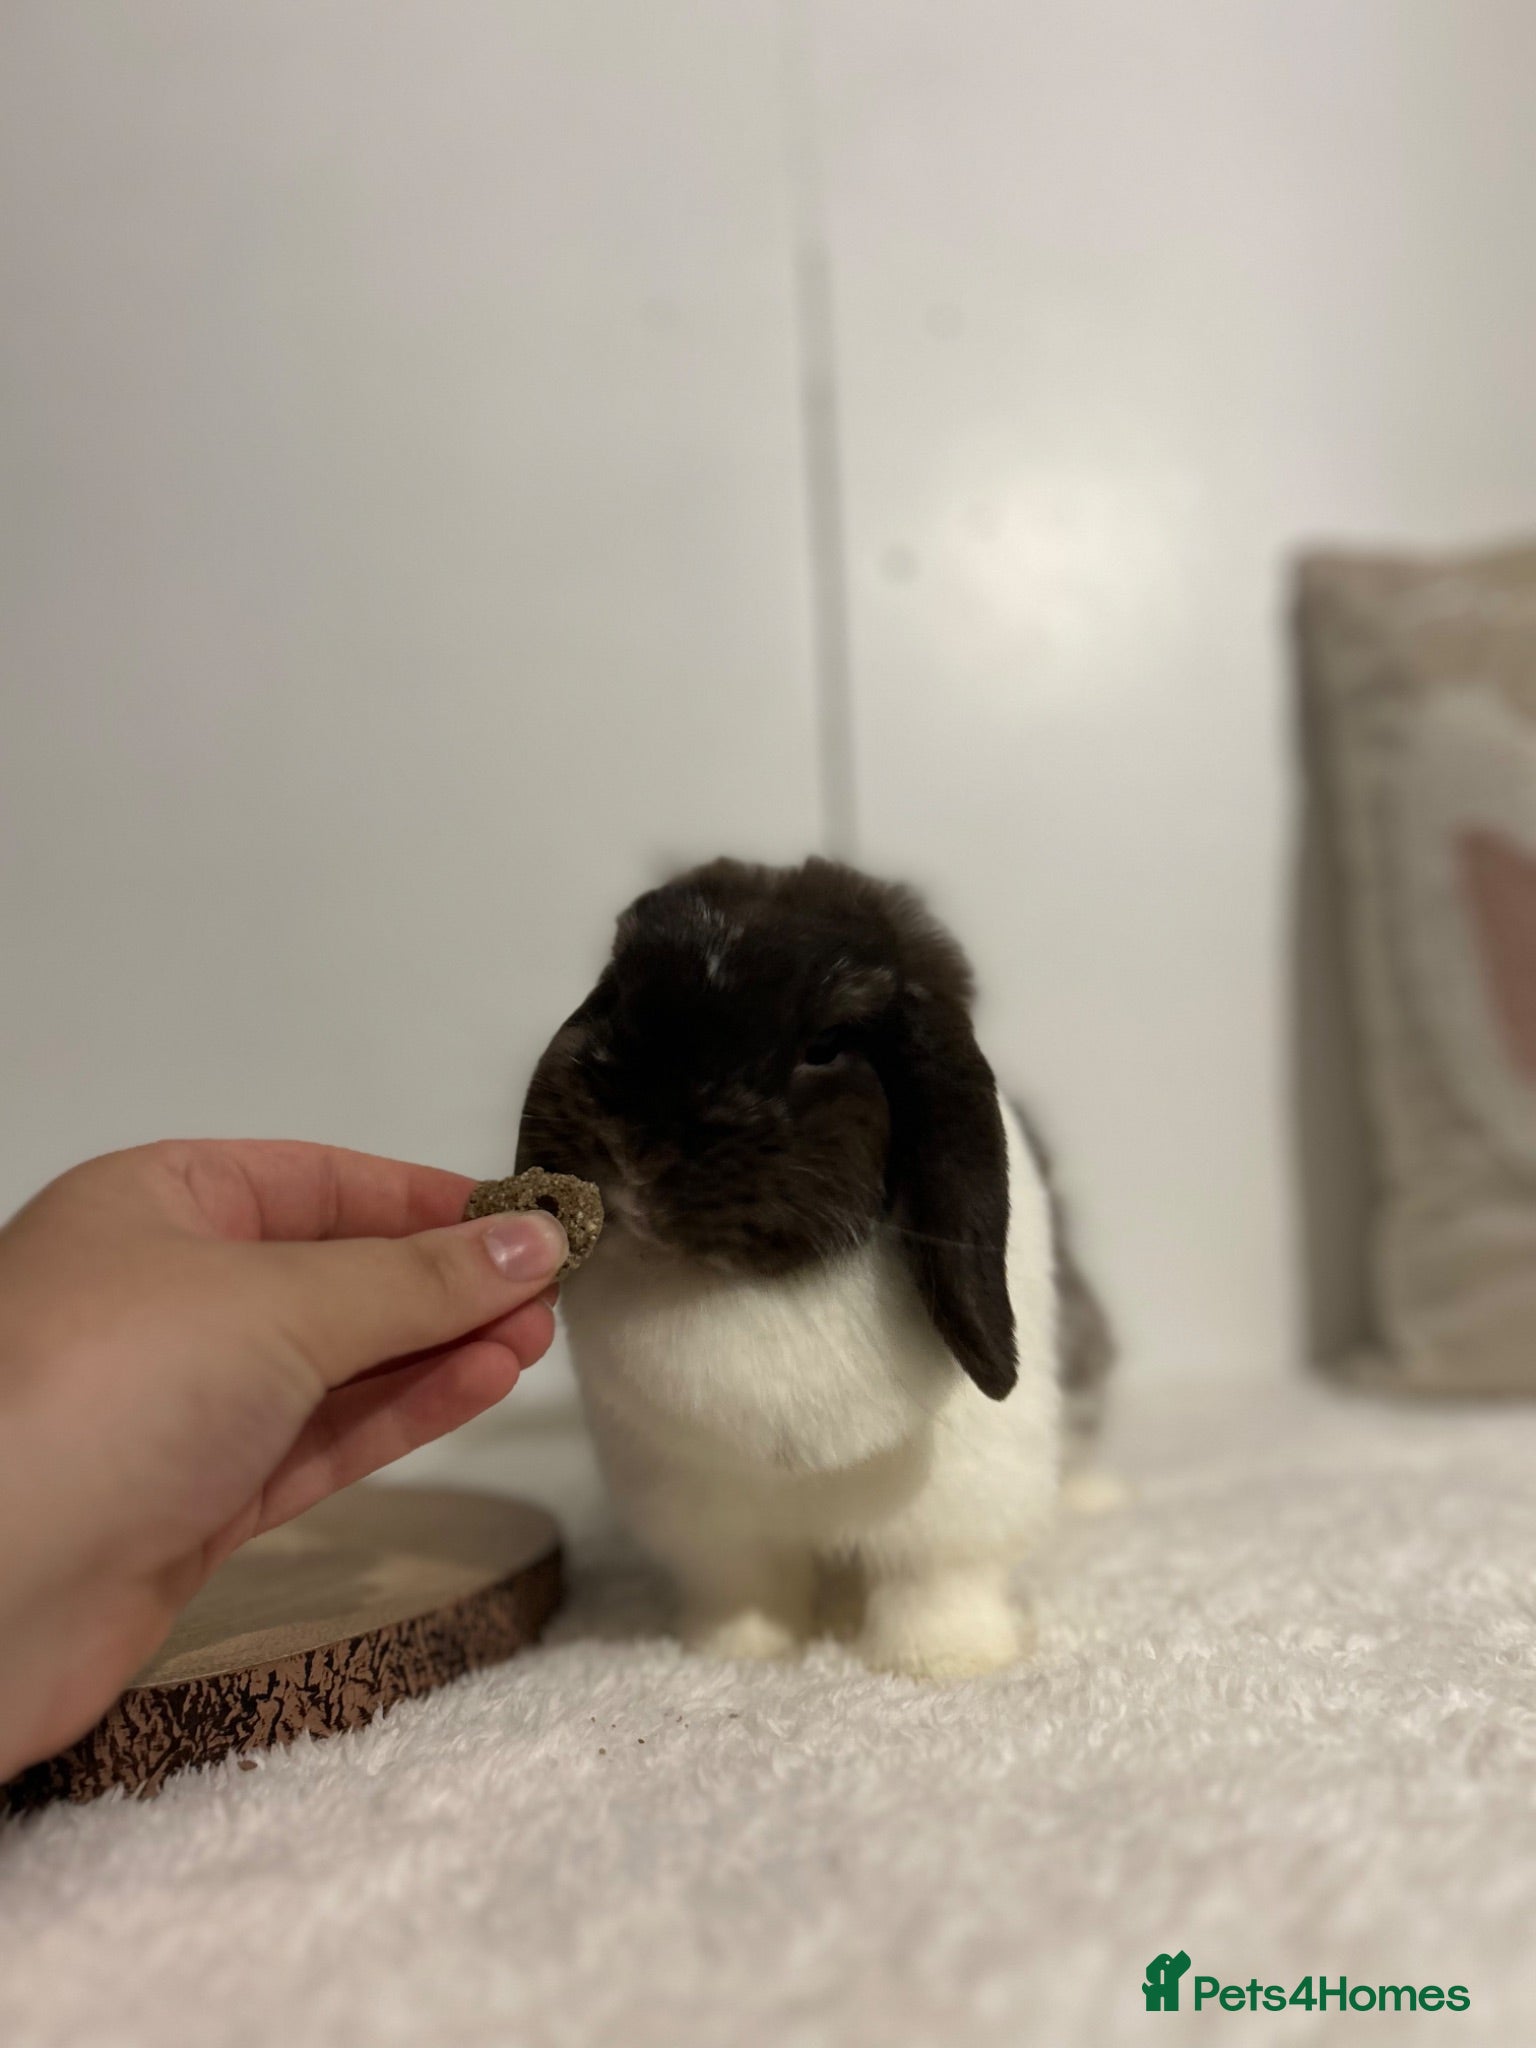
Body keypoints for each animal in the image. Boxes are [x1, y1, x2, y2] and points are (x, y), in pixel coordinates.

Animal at [516, 855, 1110, 1678]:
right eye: (618, 992)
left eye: (826, 1044)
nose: (633, 1150)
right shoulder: (707, 1519)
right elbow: (746, 1590)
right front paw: (736, 1653)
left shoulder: (955, 1507)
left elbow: (937, 1586)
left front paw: (945, 1663)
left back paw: (1094, 1496)